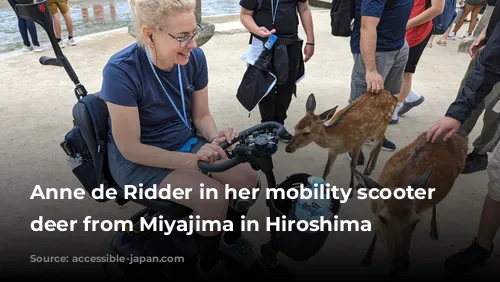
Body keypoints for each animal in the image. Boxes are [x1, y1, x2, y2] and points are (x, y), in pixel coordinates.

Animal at [352, 132, 468, 276]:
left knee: (435, 203)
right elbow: (376, 232)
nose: (402, 264)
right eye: (383, 218)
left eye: (415, 222)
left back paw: (434, 230)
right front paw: (366, 258)